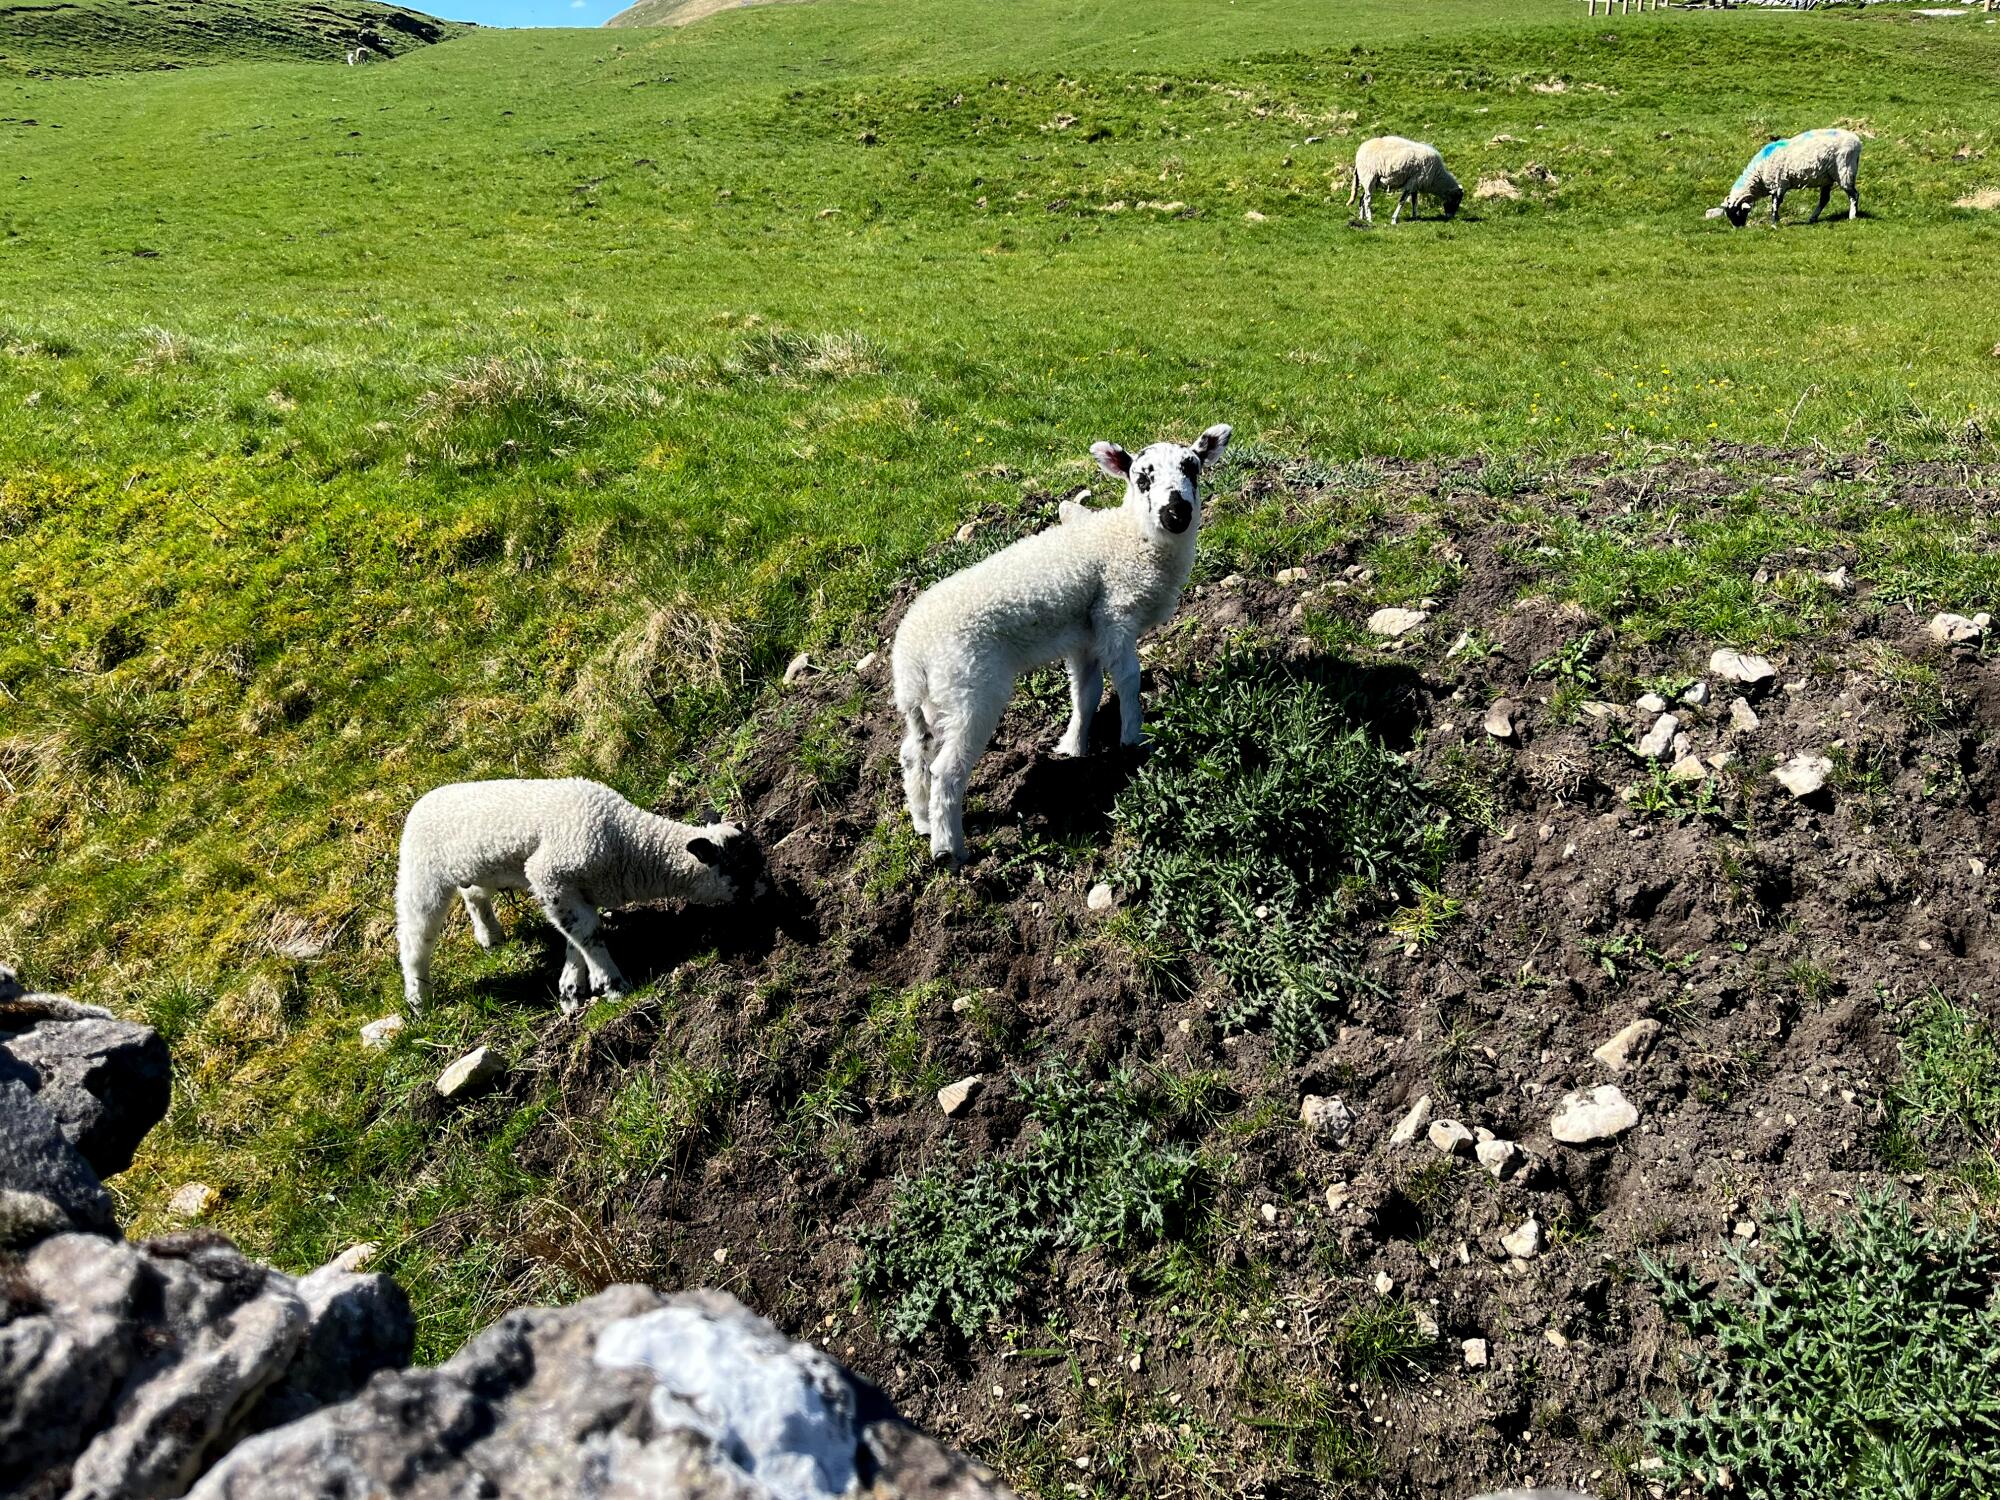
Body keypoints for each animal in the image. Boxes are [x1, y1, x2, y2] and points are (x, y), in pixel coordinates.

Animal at [394, 778, 763, 1014]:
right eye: (742, 867)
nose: (765, 895)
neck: (629, 844)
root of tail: (420, 803)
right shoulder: (549, 875)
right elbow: (589, 934)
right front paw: (612, 985)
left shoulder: (578, 890)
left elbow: (577, 937)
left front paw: (571, 988)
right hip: (421, 874)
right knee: (414, 938)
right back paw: (418, 1000)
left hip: (479, 869)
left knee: (473, 894)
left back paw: (489, 936)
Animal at [893, 423, 1232, 864]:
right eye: (1142, 478)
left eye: (1192, 468)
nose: (1176, 513)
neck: (1129, 537)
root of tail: (912, 653)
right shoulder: (1116, 613)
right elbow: (1128, 678)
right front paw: (1133, 738)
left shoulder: (1085, 636)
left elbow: (1086, 693)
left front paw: (1073, 747)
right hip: (970, 688)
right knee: (946, 770)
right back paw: (949, 849)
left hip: (930, 700)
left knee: (914, 754)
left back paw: (921, 821)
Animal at [1718, 128, 1862, 227]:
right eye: (1728, 214)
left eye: (1737, 212)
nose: (1738, 228)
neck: (1758, 173)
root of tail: (1857, 141)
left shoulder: (1779, 184)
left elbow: (1775, 203)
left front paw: (1774, 222)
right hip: (1827, 178)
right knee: (1824, 199)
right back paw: (1812, 218)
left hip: (1845, 170)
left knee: (1854, 195)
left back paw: (1852, 216)